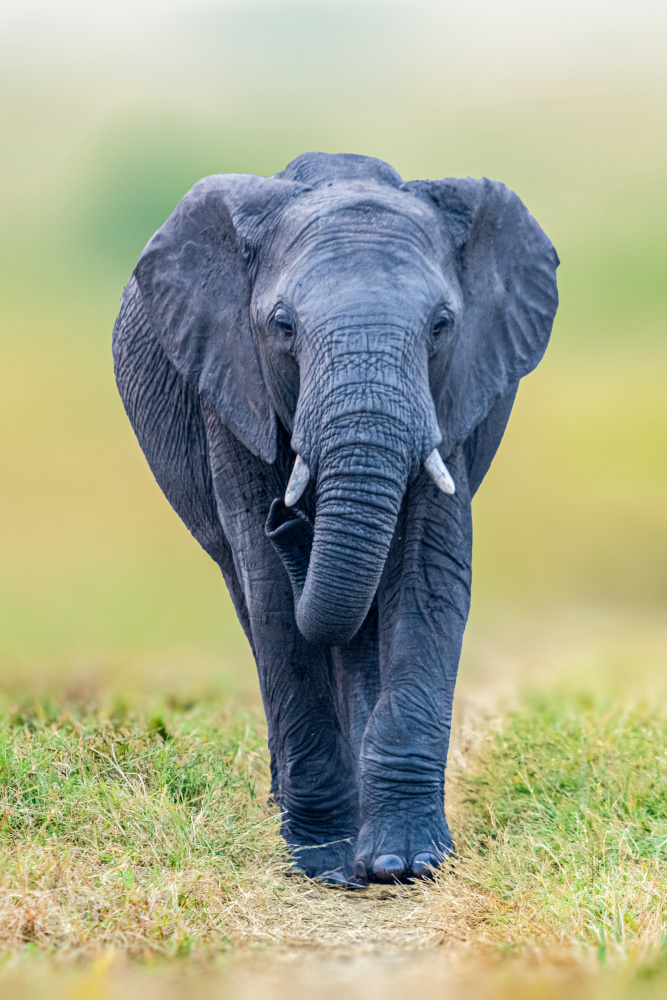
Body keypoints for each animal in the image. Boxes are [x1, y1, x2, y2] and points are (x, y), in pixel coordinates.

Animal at [113, 152, 558, 885]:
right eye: (282, 325)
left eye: (441, 324)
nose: (287, 517)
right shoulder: (231, 385)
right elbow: (271, 595)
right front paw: (321, 862)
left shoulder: (452, 399)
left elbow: (427, 574)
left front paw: (406, 864)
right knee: (252, 598)